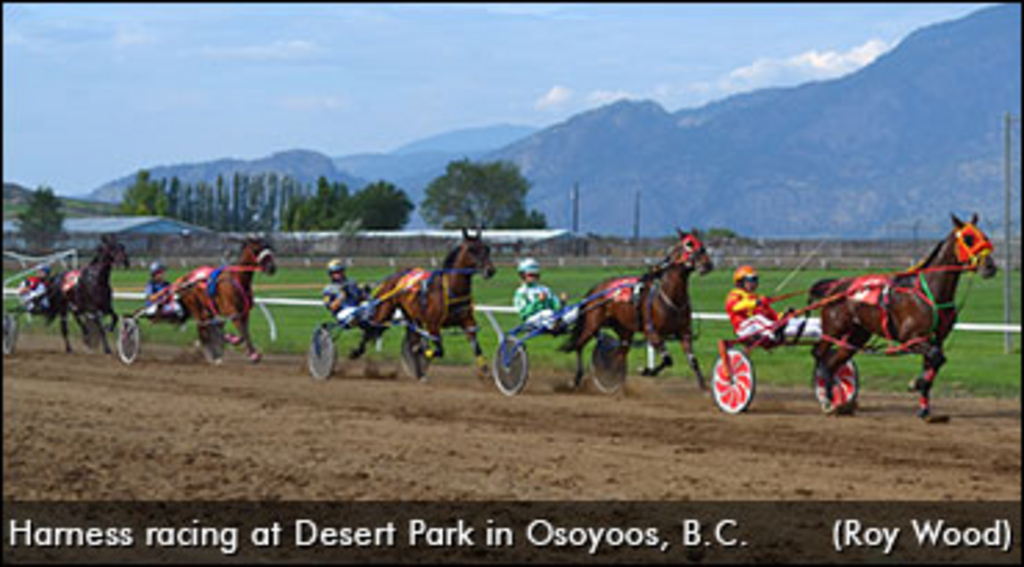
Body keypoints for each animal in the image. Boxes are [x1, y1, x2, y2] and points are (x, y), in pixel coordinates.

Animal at [350, 225, 497, 374]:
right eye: (471, 249)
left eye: (487, 248)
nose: (490, 270)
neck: (450, 290)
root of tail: (392, 278)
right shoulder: (433, 325)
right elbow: (438, 350)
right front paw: (421, 351)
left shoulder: (467, 321)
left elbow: (476, 346)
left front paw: (484, 368)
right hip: (385, 310)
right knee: (372, 327)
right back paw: (356, 351)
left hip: (410, 315)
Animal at [561, 228, 712, 388]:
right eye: (689, 244)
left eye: (701, 244)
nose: (708, 265)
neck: (670, 296)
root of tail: (596, 289)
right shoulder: (652, 333)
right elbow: (667, 359)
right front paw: (646, 370)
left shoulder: (685, 333)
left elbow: (693, 360)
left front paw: (703, 385)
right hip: (592, 324)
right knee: (579, 345)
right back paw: (577, 378)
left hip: (624, 329)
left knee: (619, 354)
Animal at [806, 213, 999, 417]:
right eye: (969, 238)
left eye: (985, 236)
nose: (990, 266)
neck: (928, 291)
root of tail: (834, 286)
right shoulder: (910, 338)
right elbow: (937, 357)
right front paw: (916, 383)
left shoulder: (936, 338)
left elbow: (936, 360)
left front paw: (924, 406)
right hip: (833, 328)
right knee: (819, 354)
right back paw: (827, 398)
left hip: (857, 335)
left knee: (833, 362)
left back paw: (835, 398)